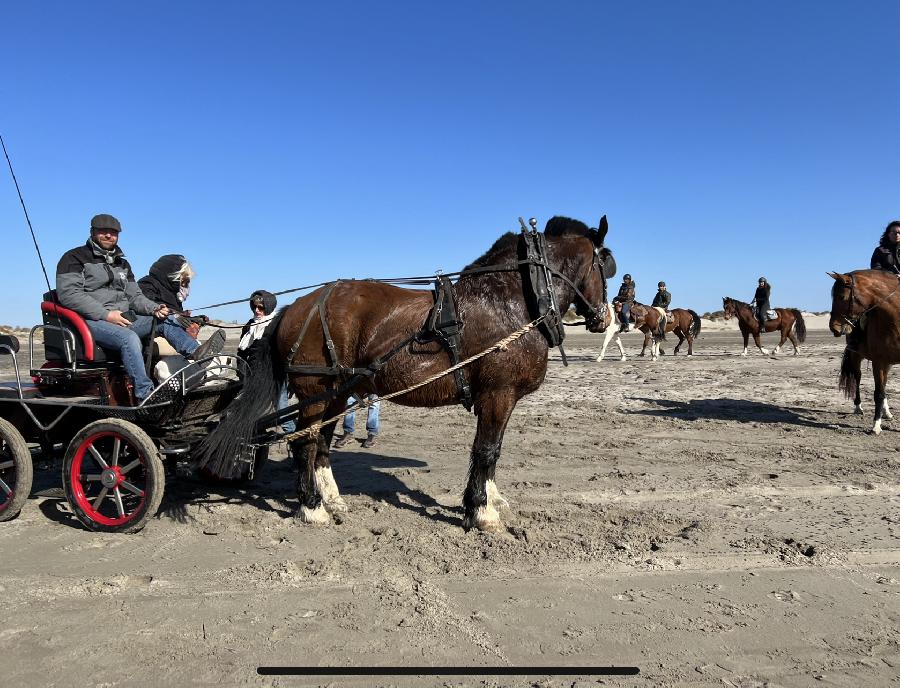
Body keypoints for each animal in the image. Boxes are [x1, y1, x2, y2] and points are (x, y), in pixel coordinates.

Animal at [200, 215, 616, 532]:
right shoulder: (498, 392)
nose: (604, 317)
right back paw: (312, 507)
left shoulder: (501, 398)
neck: (511, 301)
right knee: (305, 443)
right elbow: (485, 450)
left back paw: (332, 499)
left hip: (337, 392)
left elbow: (493, 451)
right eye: (605, 265)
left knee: (321, 445)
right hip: (314, 390)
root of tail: (295, 307)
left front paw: (491, 499)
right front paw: (481, 512)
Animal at [828, 270, 900, 436]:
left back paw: (886, 412)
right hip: (857, 357)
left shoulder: (884, 362)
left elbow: (882, 390)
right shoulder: (878, 362)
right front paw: (876, 425)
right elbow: (878, 393)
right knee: (858, 378)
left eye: (841, 297)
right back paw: (858, 407)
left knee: (884, 386)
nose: (833, 327)